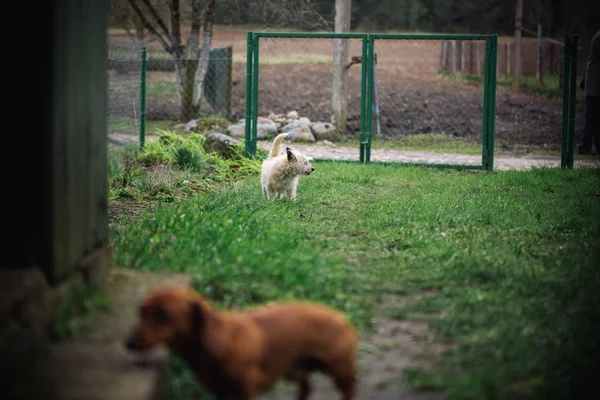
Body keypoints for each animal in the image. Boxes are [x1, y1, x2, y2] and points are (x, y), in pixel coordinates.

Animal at [123, 286, 356, 398]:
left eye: (163, 315)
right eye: (140, 311)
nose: (129, 343)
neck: (223, 340)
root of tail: (340, 317)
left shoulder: (246, 389)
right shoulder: (220, 392)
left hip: (337, 368)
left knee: (349, 387)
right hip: (293, 369)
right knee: (306, 389)